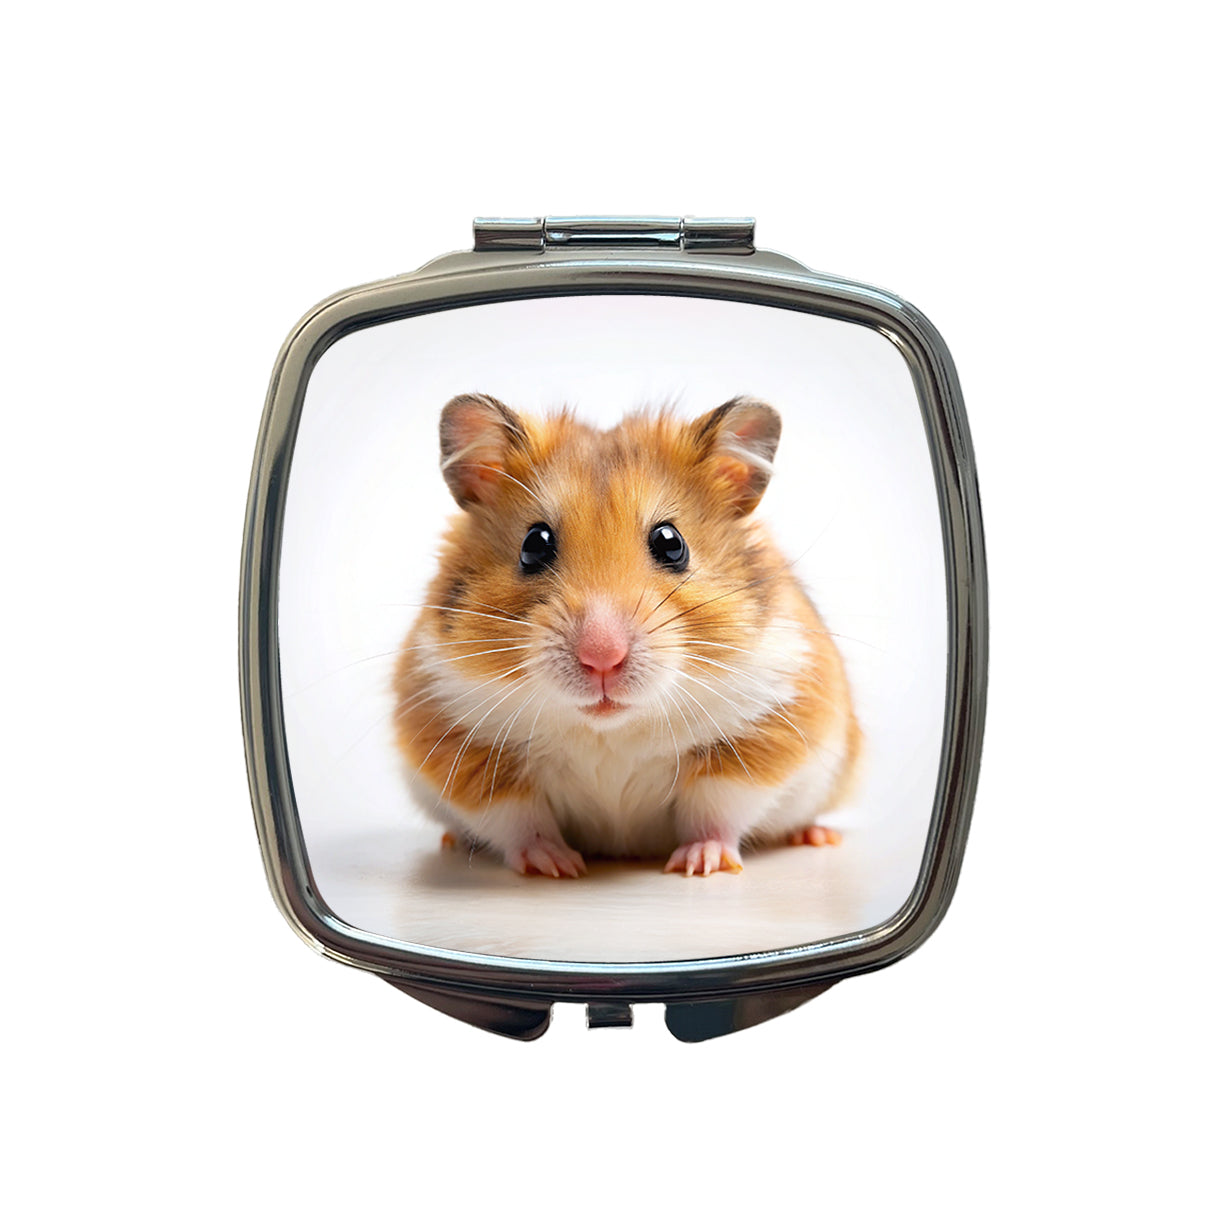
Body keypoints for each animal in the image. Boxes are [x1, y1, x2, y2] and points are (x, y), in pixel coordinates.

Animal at [393, 393, 861, 878]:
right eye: (534, 544)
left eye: (672, 543)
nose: (602, 658)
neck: (610, 727)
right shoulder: (460, 740)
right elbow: (519, 819)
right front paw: (555, 867)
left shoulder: (761, 732)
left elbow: (716, 808)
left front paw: (699, 864)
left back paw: (817, 836)